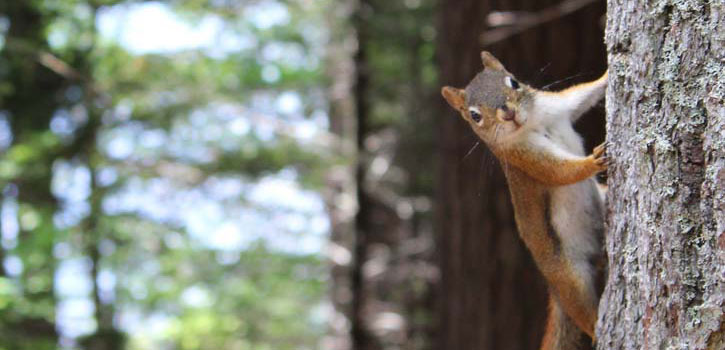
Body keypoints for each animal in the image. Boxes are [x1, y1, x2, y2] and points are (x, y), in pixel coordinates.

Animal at [442, 52, 604, 350]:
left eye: (514, 82)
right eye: (474, 115)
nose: (507, 113)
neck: (533, 123)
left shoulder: (559, 106)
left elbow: (584, 94)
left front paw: (609, 73)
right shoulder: (524, 159)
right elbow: (559, 171)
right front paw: (592, 162)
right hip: (569, 277)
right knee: (581, 311)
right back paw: (598, 327)